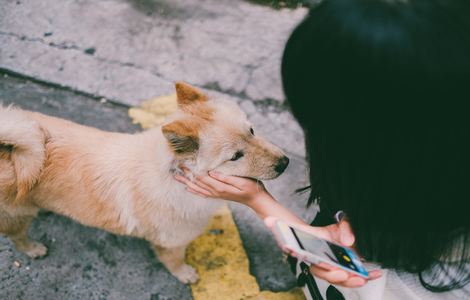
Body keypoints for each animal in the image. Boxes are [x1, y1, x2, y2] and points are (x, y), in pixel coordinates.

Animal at [0, 82, 288, 284]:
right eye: (235, 156)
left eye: (252, 131)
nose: (285, 163)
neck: (174, 175)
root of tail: (10, 149)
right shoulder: (170, 242)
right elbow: (173, 261)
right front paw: (184, 274)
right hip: (17, 215)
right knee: (17, 236)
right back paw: (32, 248)